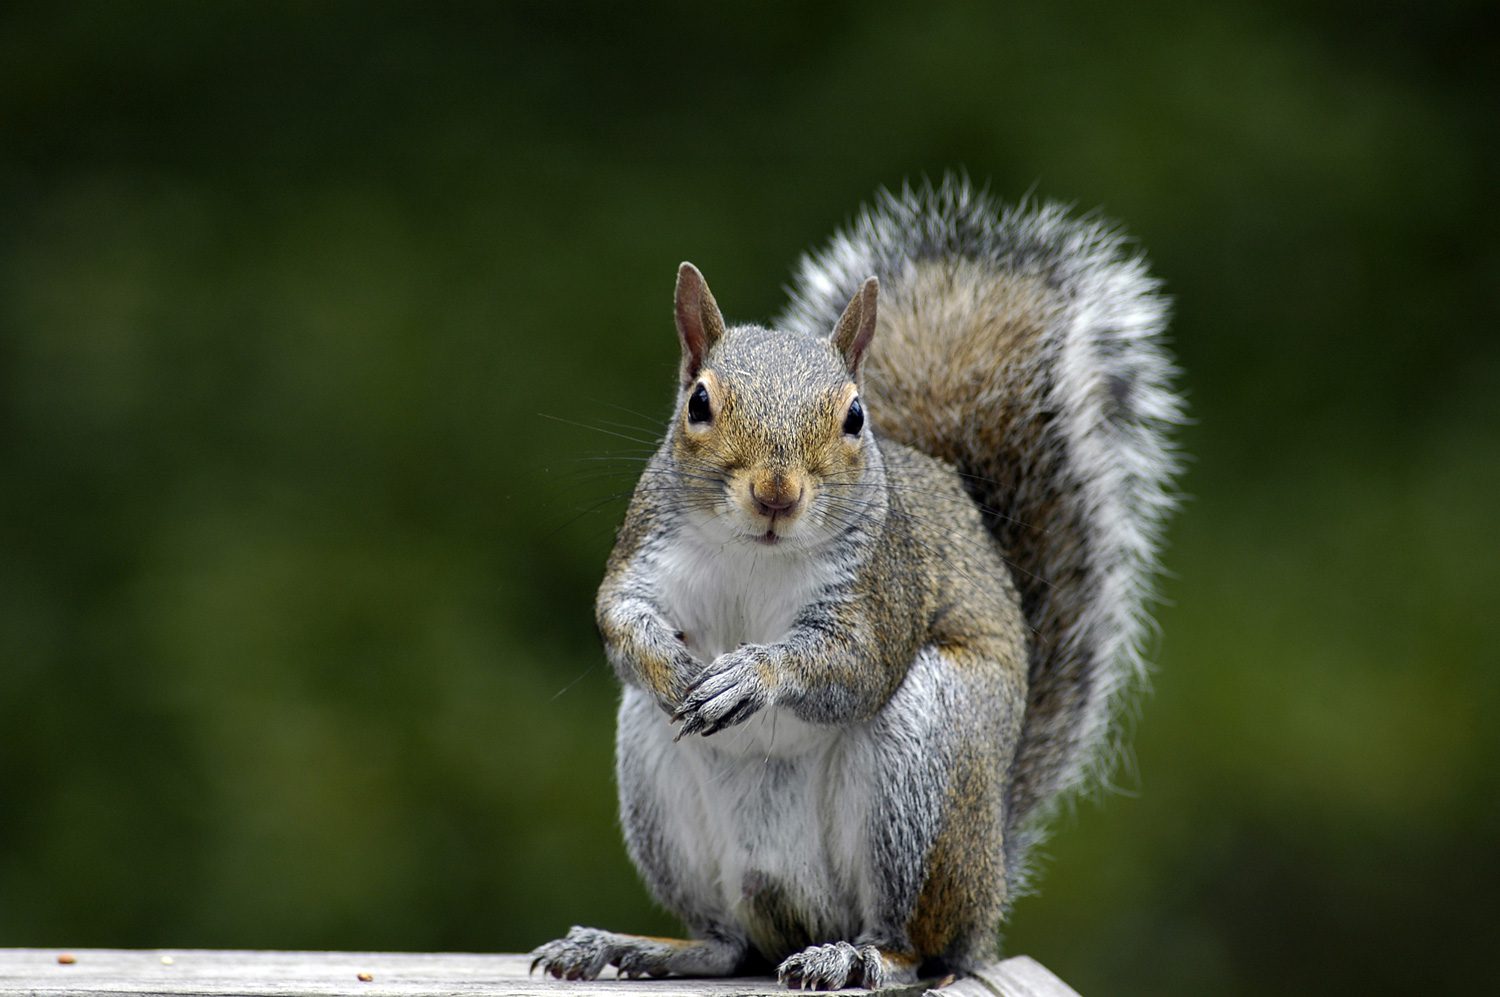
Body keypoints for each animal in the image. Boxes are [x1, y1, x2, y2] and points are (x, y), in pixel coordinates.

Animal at [534, 176, 1176, 989]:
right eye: (698, 403)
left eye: (854, 415)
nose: (776, 494)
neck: (757, 552)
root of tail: (989, 889)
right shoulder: (647, 551)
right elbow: (620, 614)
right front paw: (672, 665)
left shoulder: (881, 589)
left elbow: (855, 663)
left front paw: (752, 674)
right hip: (656, 775)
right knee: (727, 942)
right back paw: (632, 945)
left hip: (925, 764)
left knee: (917, 944)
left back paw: (858, 954)